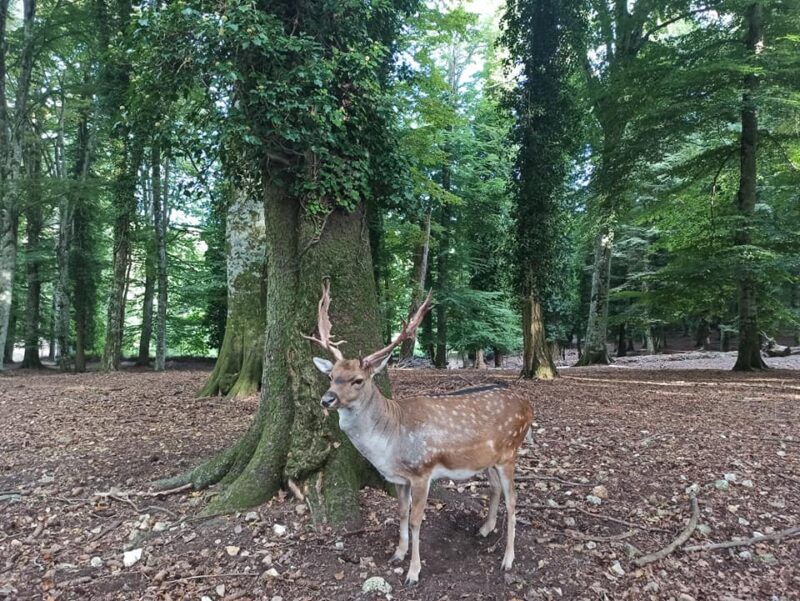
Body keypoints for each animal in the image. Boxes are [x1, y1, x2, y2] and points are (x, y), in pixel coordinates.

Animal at [308, 278, 536, 584]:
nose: (327, 399)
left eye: (357, 380)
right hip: (489, 459)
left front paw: (413, 572)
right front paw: (398, 553)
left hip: (510, 452)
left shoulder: (421, 471)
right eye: (331, 376)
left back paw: (508, 559)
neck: (390, 441)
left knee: (513, 500)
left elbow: (417, 520)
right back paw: (485, 529)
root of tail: (528, 406)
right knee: (495, 488)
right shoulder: (398, 478)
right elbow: (401, 513)